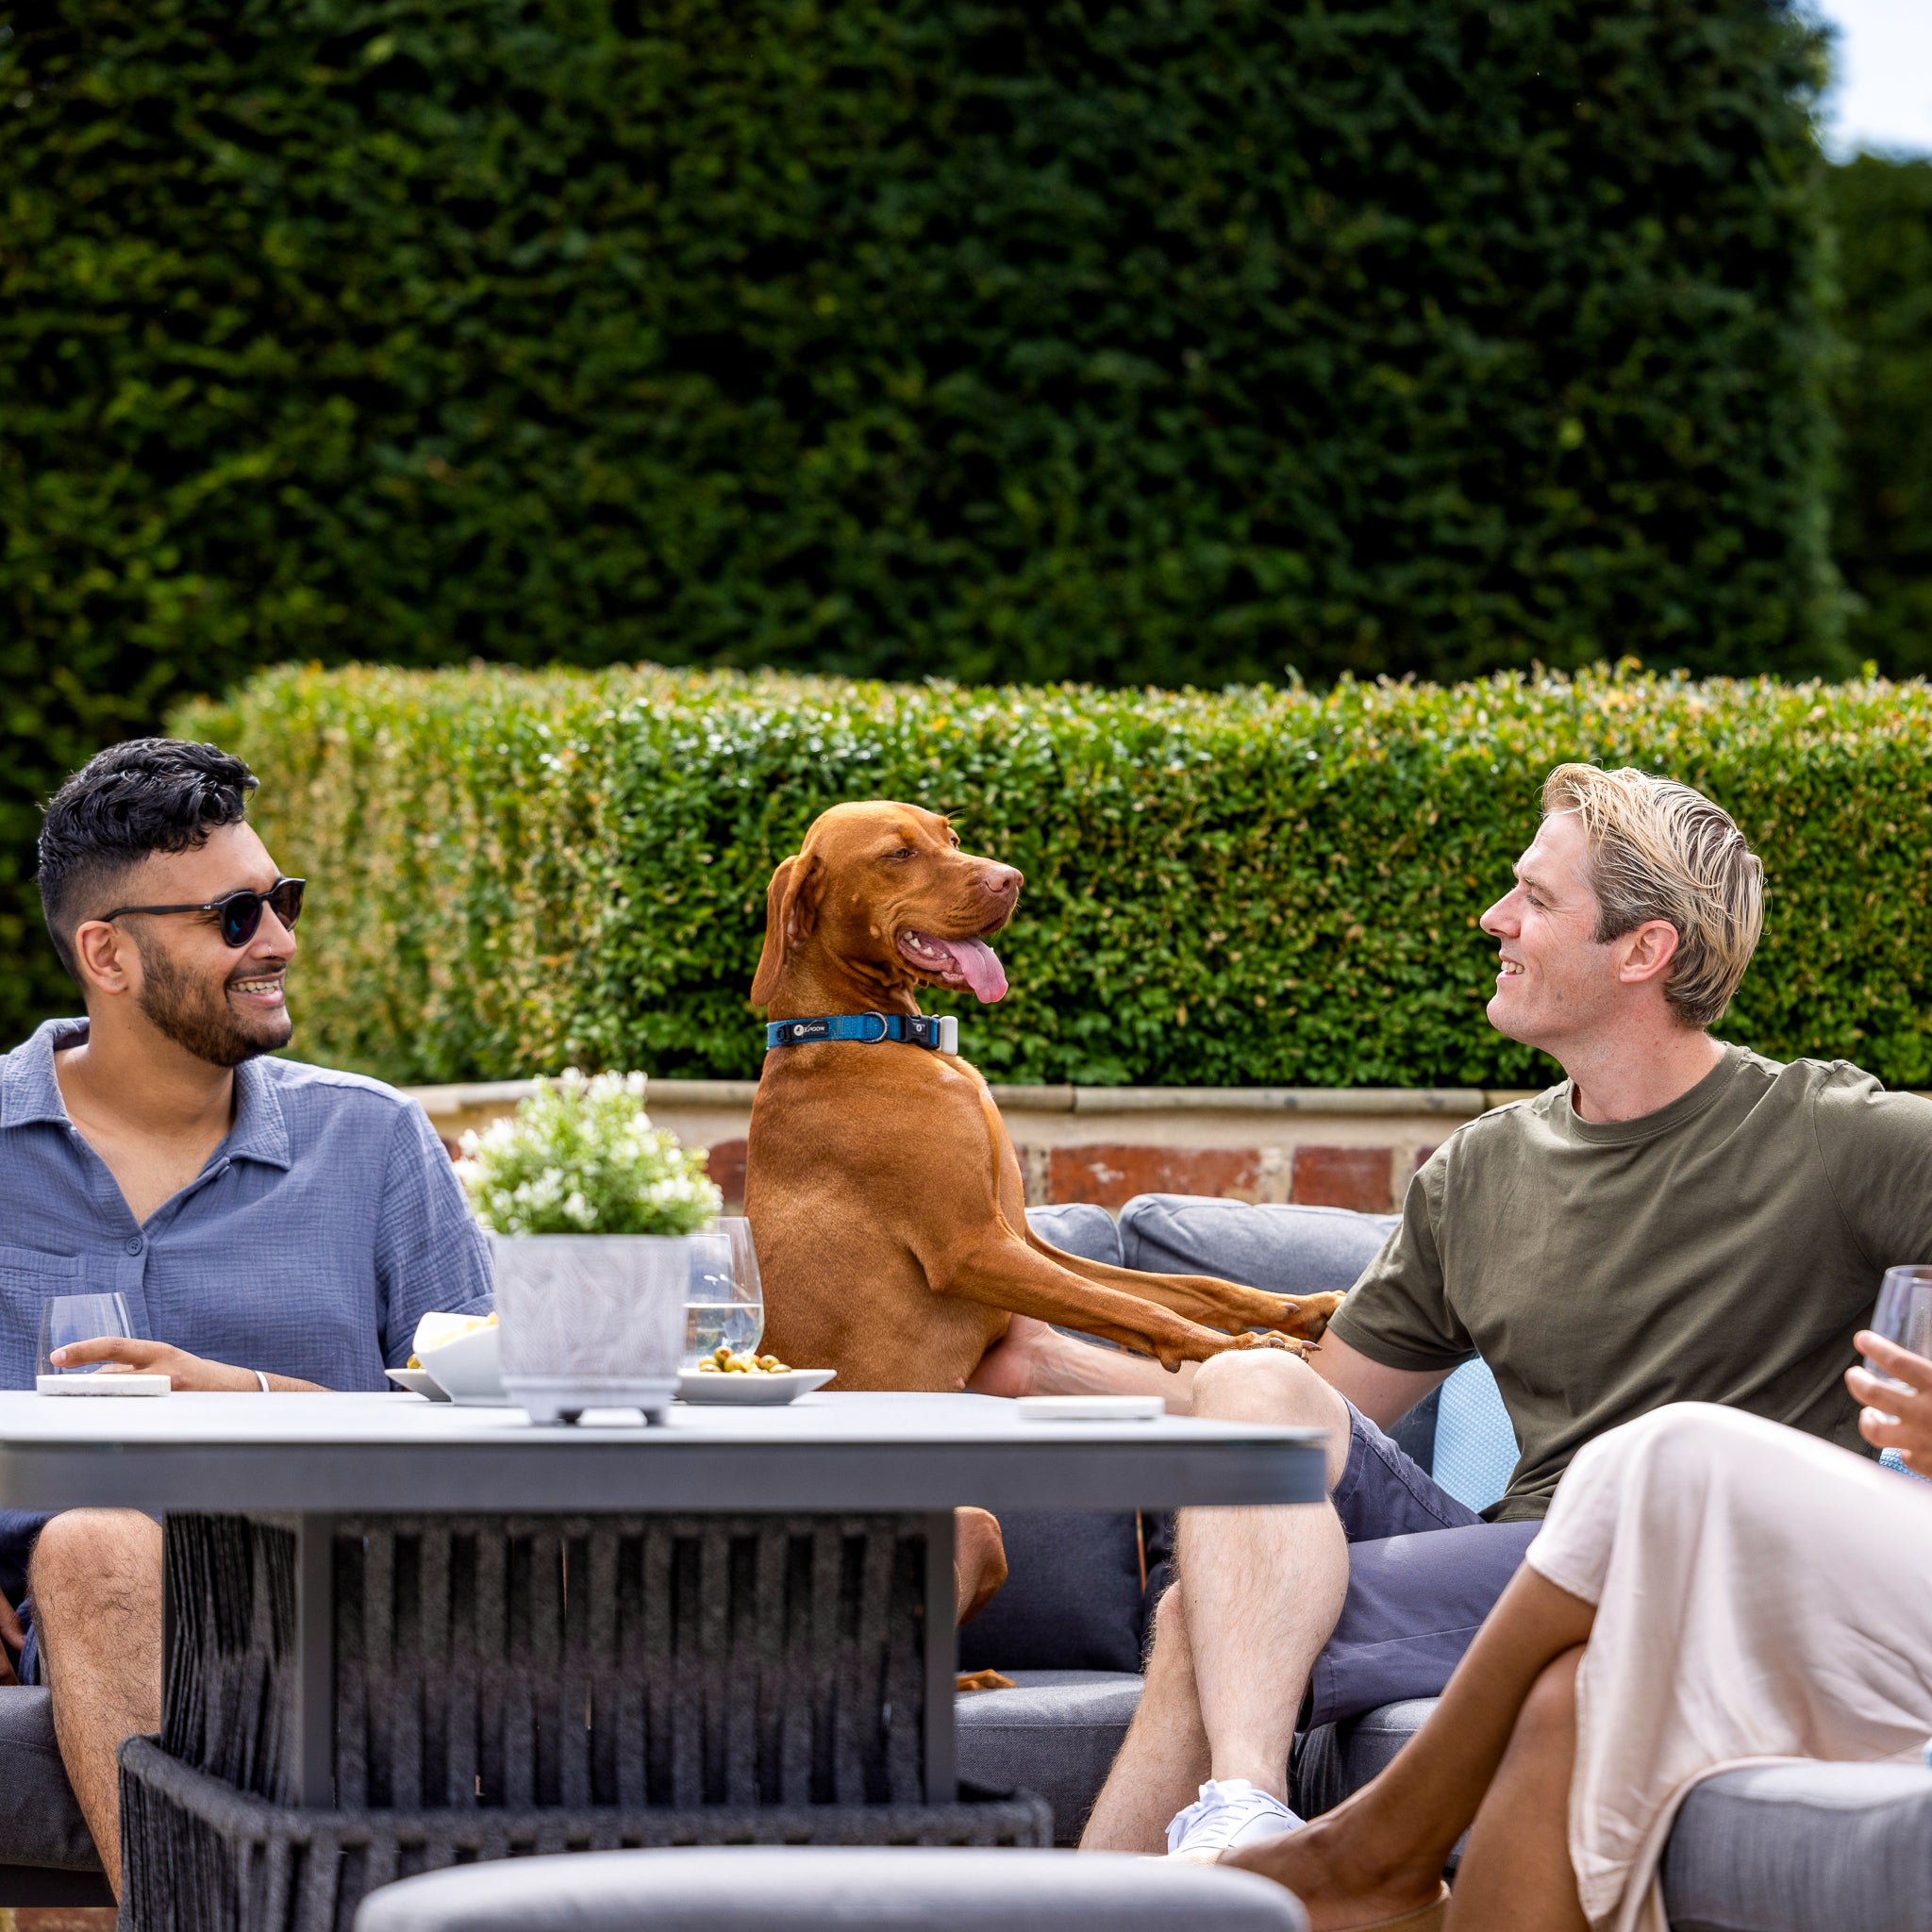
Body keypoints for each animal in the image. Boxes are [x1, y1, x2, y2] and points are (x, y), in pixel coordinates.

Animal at [741, 799, 1344, 1391]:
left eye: (952, 839)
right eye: (899, 853)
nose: (1011, 879)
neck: (863, 1031)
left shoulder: (1026, 1242)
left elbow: (1186, 1286)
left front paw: (1305, 1306)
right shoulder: (973, 1248)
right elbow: (1138, 1307)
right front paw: (1241, 1347)